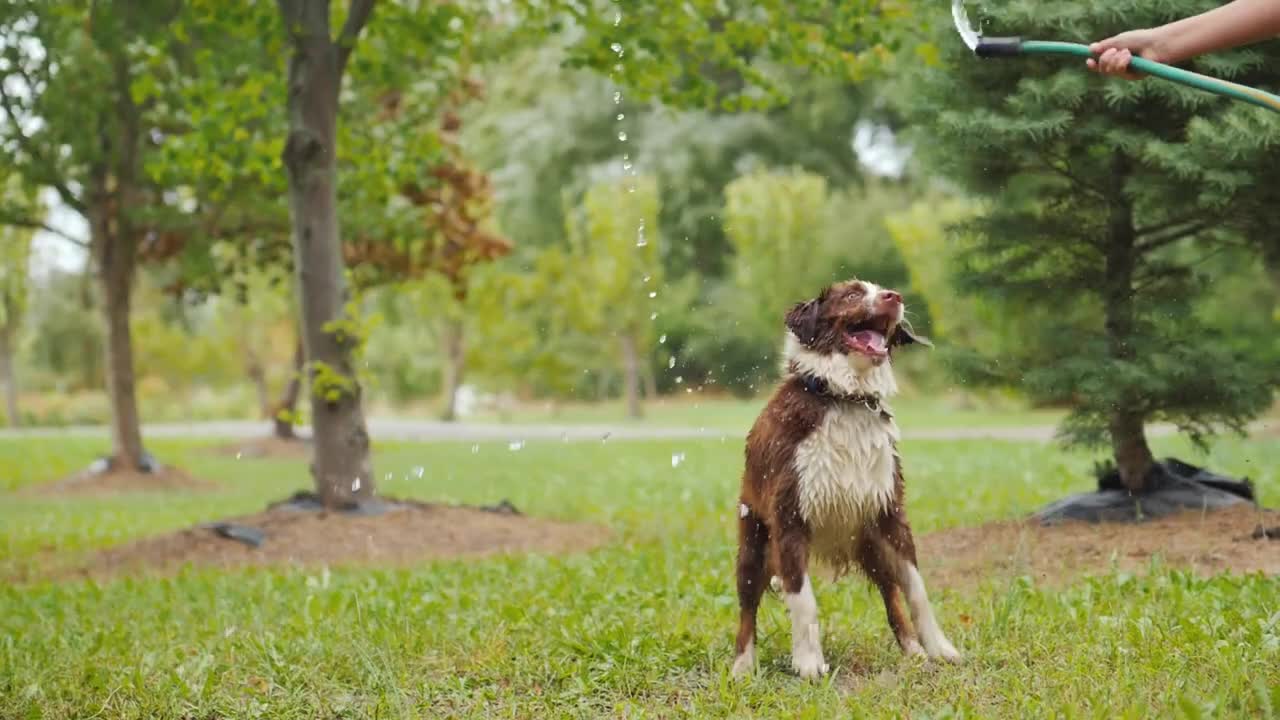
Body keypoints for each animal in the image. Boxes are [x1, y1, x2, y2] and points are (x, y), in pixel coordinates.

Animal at [737, 278, 957, 676]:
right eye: (853, 294)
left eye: (883, 289)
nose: (895, 297)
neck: (847, 397)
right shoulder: (789, 517)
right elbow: (803, 600)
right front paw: (809, 663)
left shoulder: (889, 513)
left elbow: (916, 589)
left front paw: (939, 647)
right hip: (753, 543)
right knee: (747, 610)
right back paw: (742, 667)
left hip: (870, 542)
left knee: (891, 595)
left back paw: (913, 651)